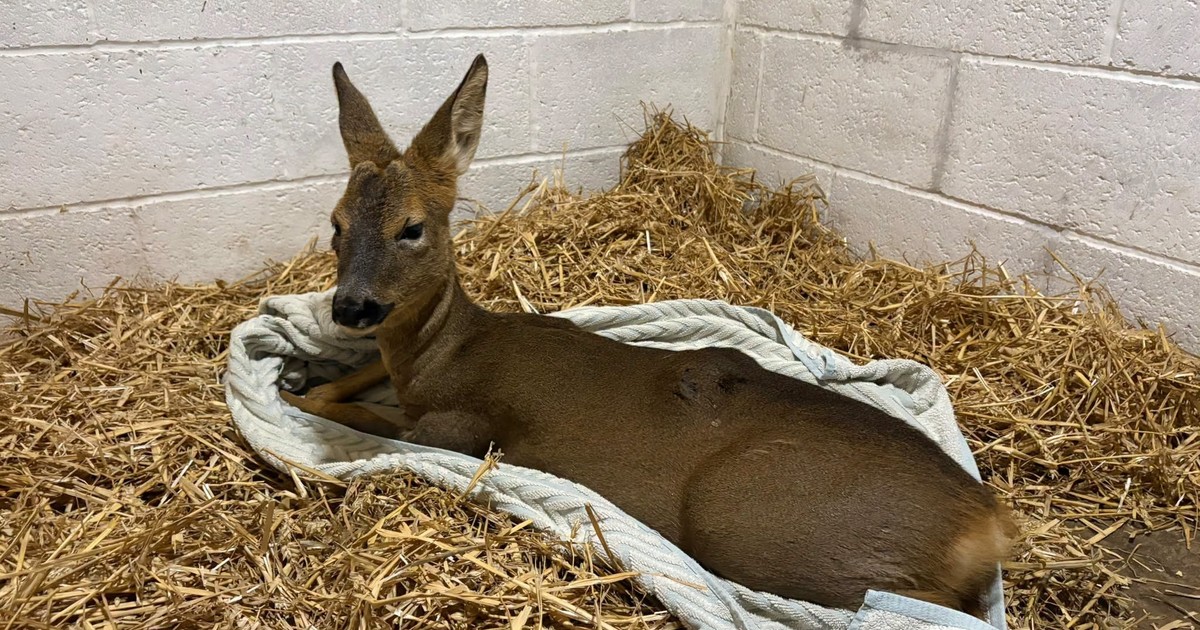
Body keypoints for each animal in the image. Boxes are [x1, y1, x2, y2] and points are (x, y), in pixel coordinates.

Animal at [279, 54, 1017, 618]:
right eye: (337, 223)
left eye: (411, 227)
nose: (350, 306)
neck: (441, 353)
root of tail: (987, 525)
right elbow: (350, 382)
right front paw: (299, 375)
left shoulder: (463, 426)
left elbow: (357, 416)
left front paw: (295, 395)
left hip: (750, 521)